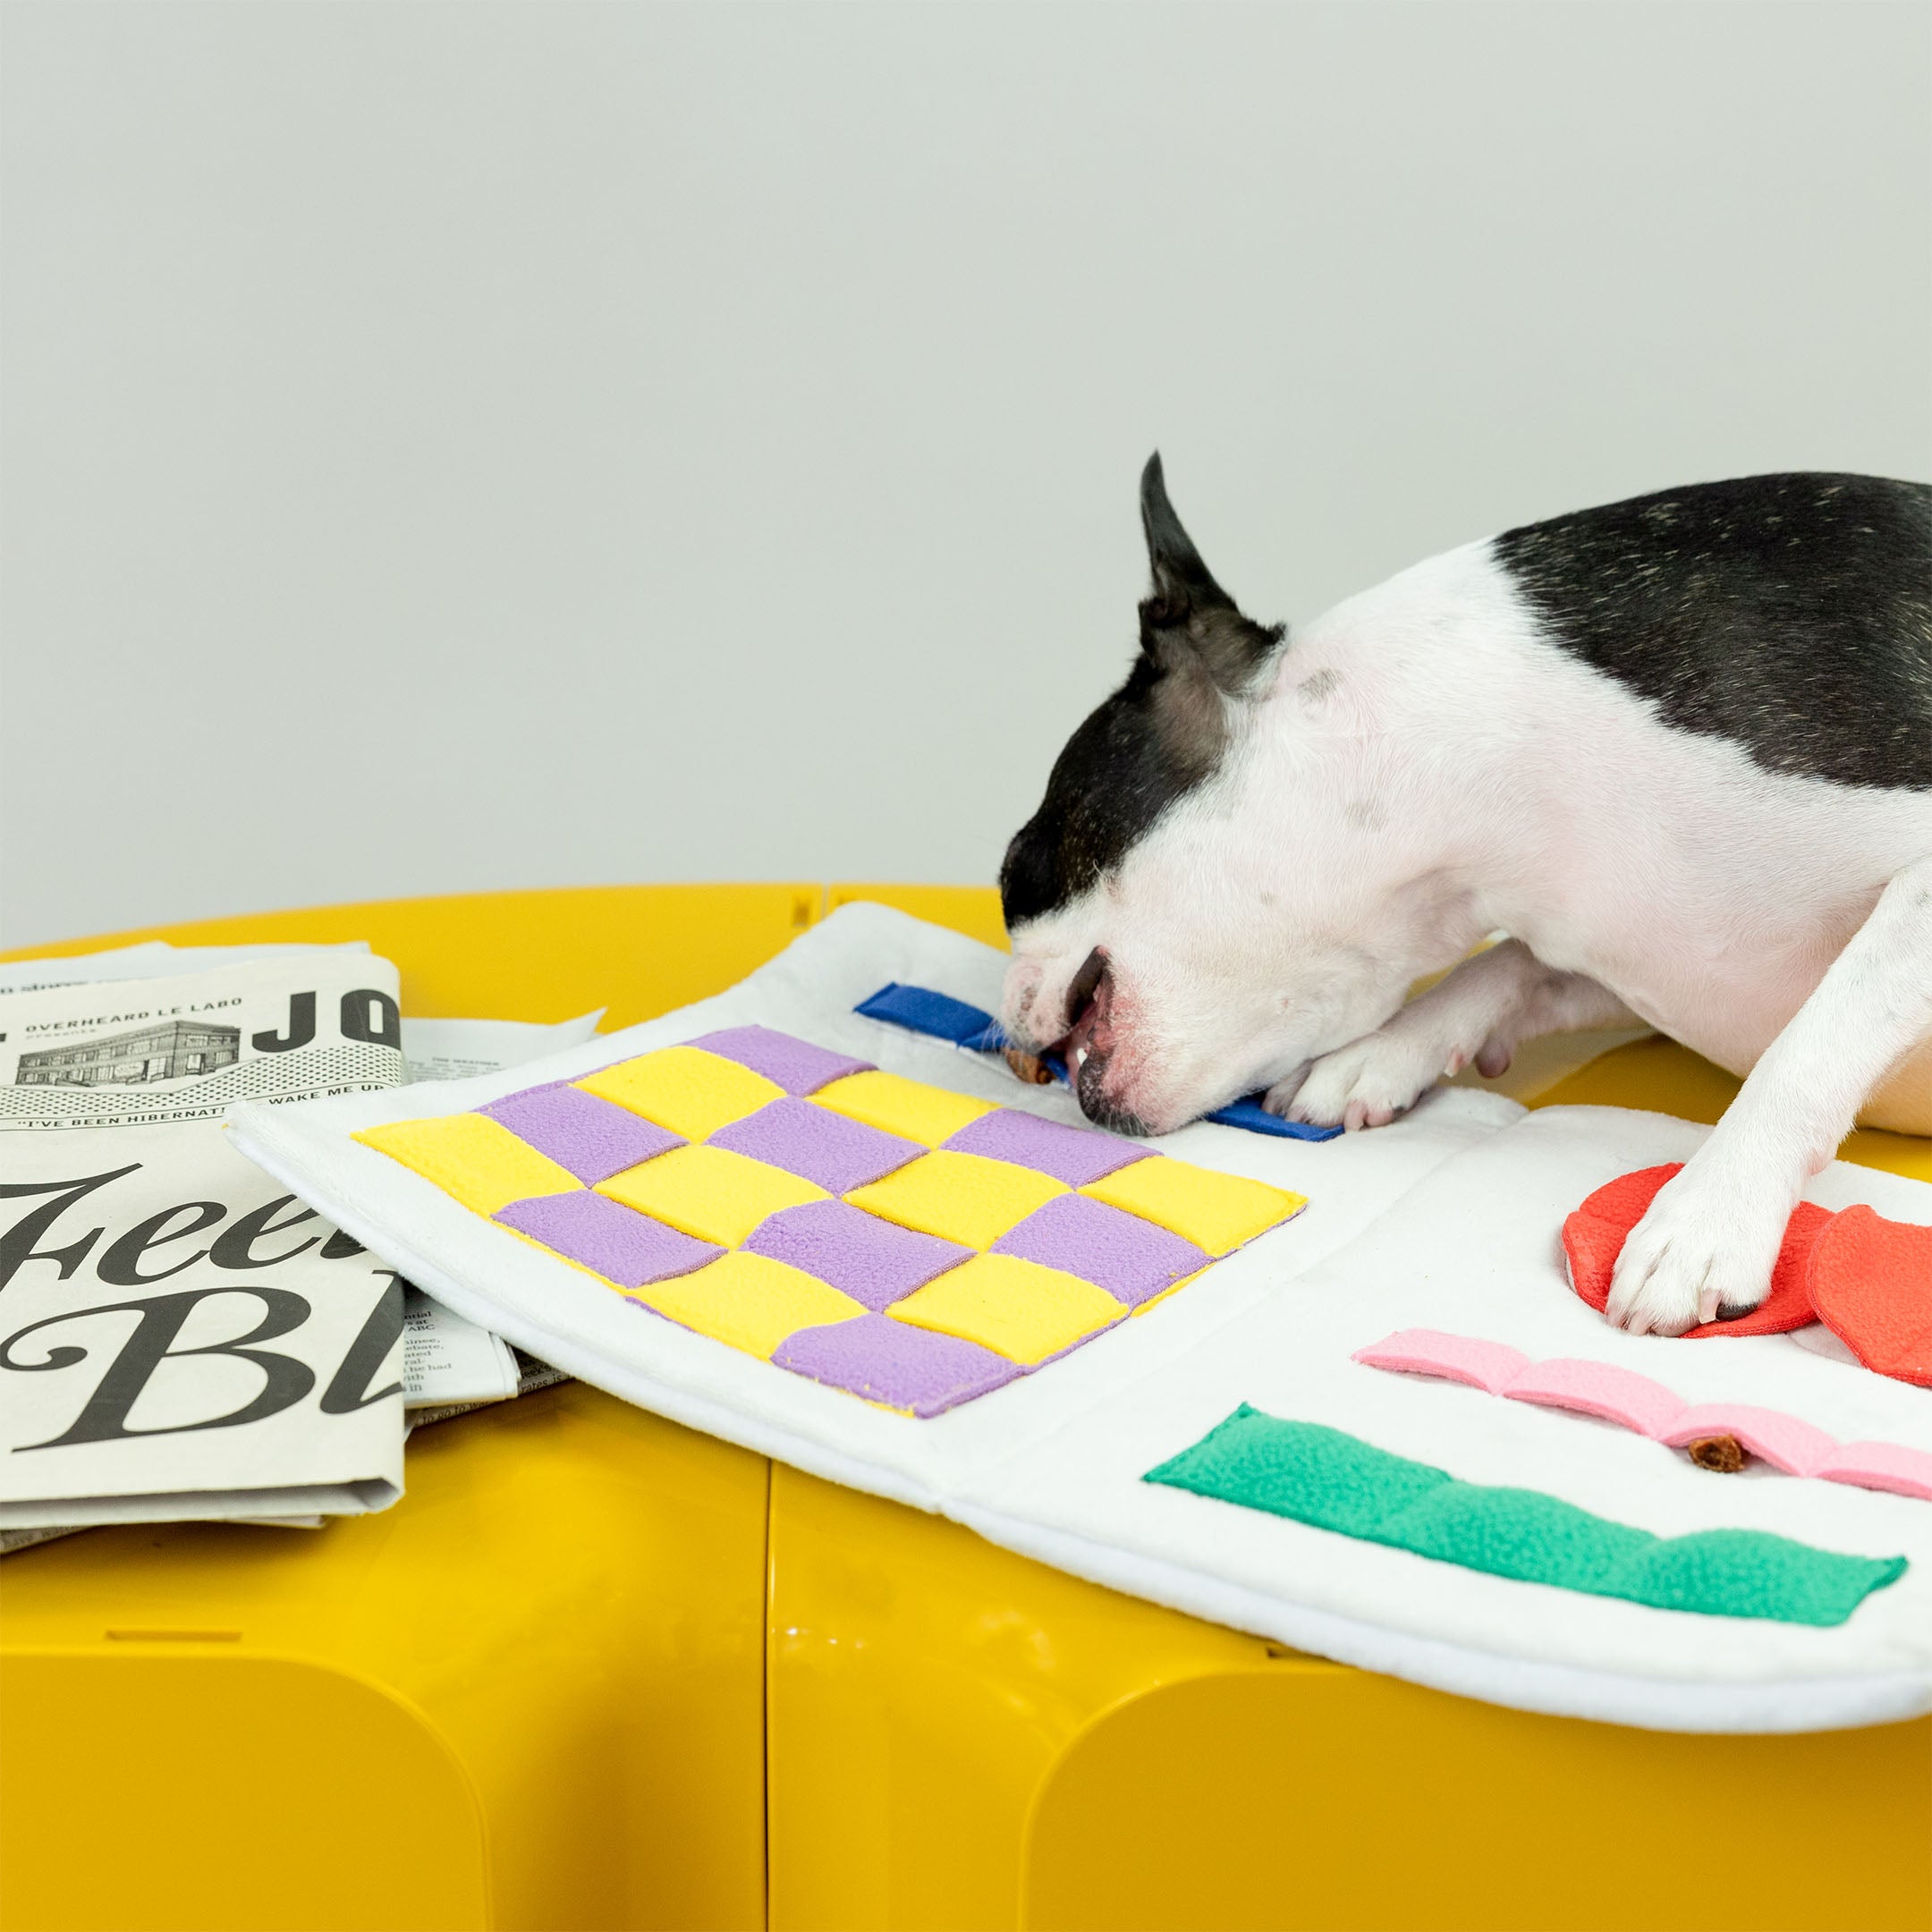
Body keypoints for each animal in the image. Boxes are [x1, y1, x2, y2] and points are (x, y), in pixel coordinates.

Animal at [1004, 463, 1924, 1344]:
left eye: (1018, 867)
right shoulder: (1640, 953)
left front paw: (1705, 1218)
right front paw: (1380, 1052)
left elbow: (1811, 1044)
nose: (1008, 1019)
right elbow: (1508, 967)